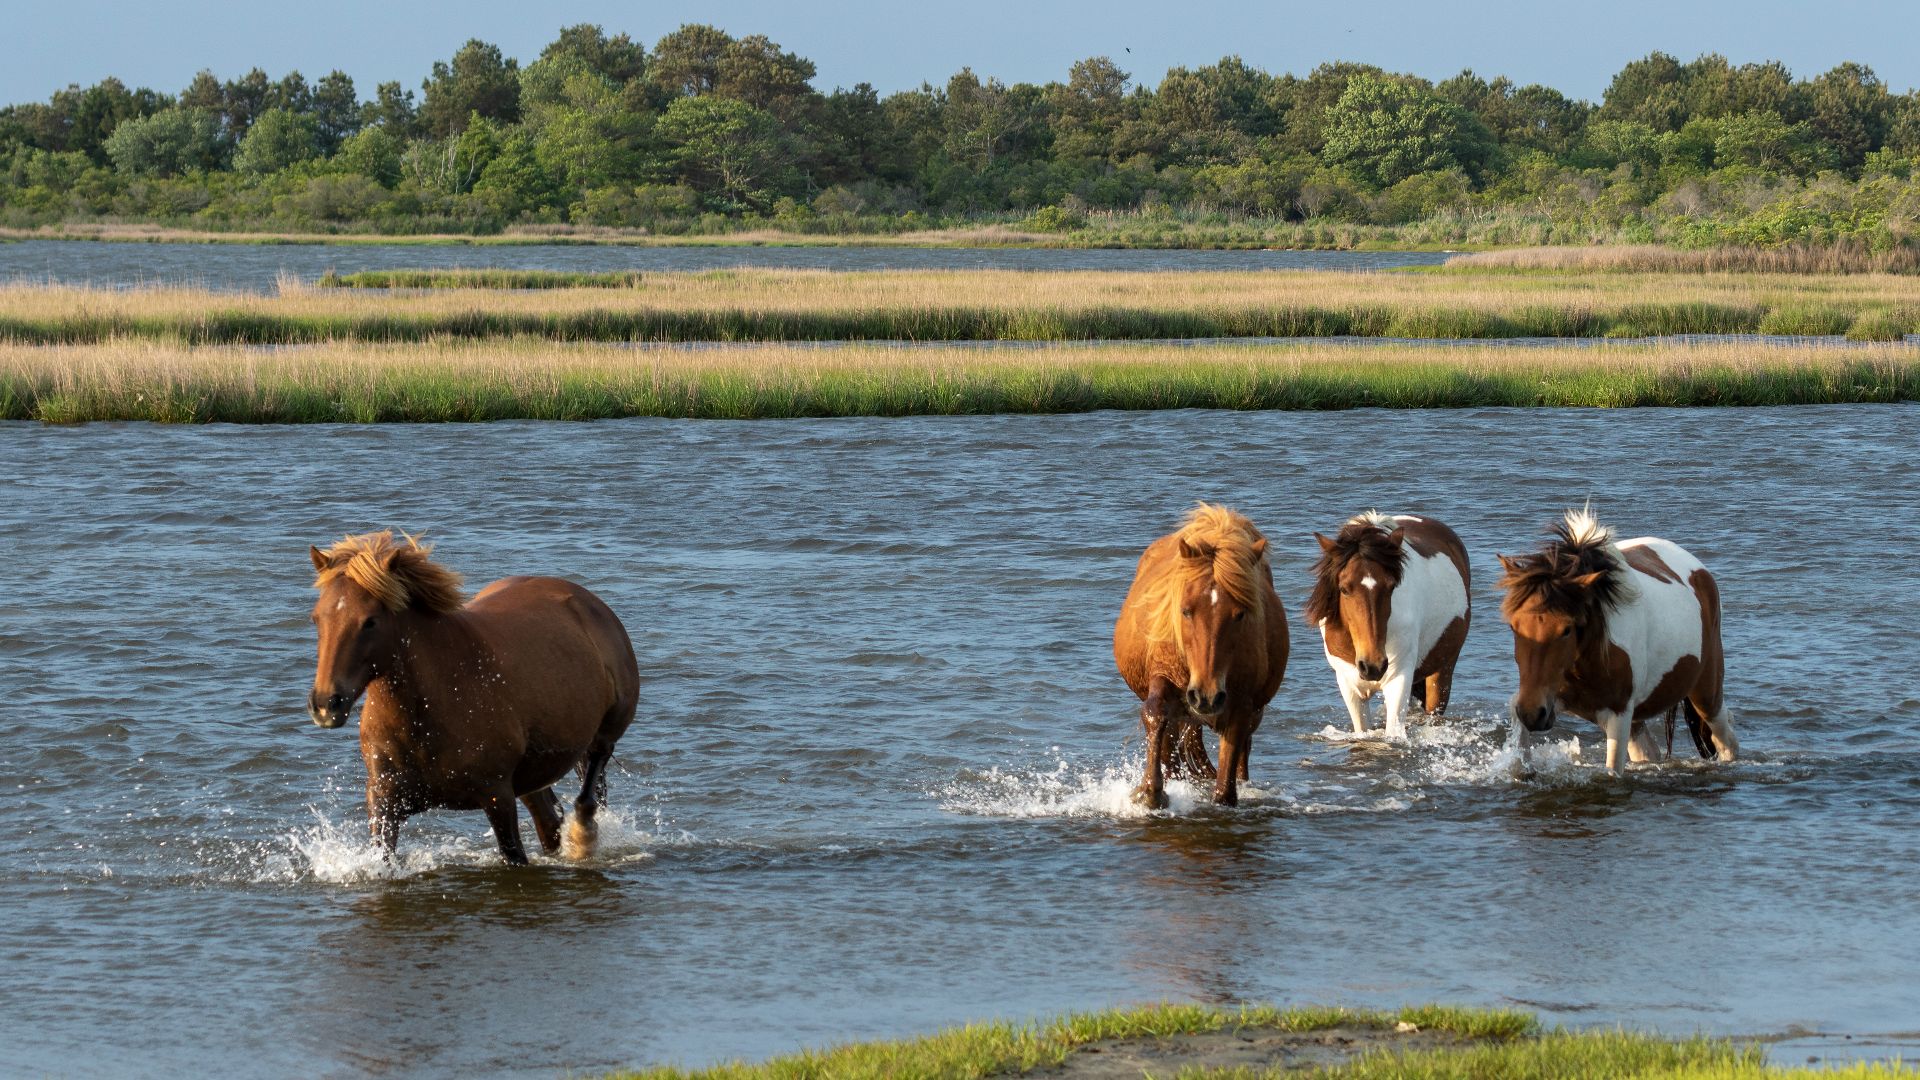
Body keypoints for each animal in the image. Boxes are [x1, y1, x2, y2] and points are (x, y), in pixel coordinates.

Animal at [305, 532, 640, 865]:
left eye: (370, 621)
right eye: (317, 618)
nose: (326, 704)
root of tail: (589, 602)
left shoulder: (497, 796)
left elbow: (514, 854)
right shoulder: (384, 801)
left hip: (603, 736)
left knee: (588, 791)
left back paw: (582, 838)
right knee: (549, 817)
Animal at [1114, 504, 1289, 808]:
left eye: (1240, 614)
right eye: (1185, 610)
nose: (1205, 696)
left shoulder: (1241, 703)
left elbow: (1227, 780)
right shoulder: (1164, 674)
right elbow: (1155, 715)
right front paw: (1150, 792)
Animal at [1305, 512, 1471, 739]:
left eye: (1392, 586)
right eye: (1344, 589)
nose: (1372, 666)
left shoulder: (1398, 680)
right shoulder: (1349, 685)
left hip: (1442, 672)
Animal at [1496, 508, 1738, 774]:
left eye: (1567, 629)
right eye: (1513, 626)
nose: (1532, 713)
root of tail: (1700, 570)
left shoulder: (1619, 714)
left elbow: (1612, 770)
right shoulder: (1549, 697)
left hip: (1706, 695)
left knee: (1726, 741)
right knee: (1648, 753)